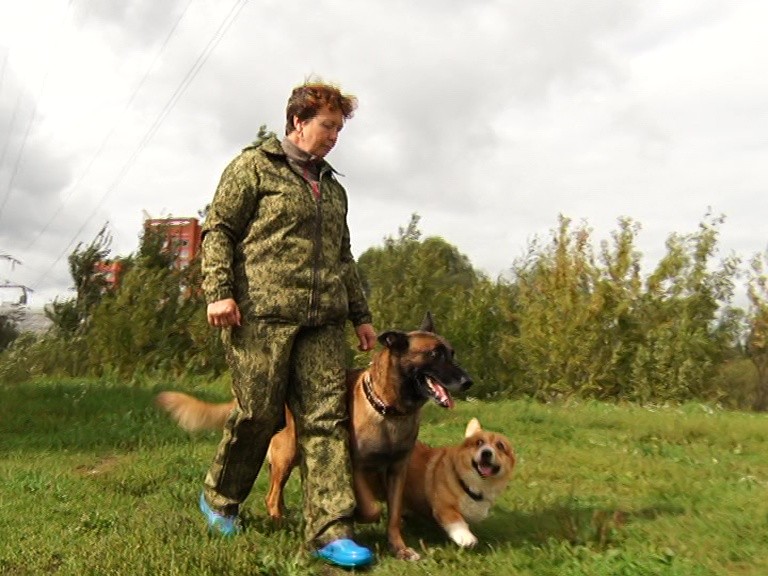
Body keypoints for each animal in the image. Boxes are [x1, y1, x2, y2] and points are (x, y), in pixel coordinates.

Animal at [156, 316, 472, 564]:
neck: (389, 411)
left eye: (452, 353)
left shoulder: (397, 471)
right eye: (434, 354)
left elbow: (393, 516)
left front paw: (401, 549)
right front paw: (357, 515)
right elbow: (369, 508)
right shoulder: (356, 465)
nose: (468, 381)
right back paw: (281, 523)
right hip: (286, 455)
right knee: (272, 495)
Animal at [402, 416, 516, 548]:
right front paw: (466, 537)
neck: (472, 486)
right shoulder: (444, 507)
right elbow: (457, 520)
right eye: (479, 442)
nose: (486, 453)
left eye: (500, 446)